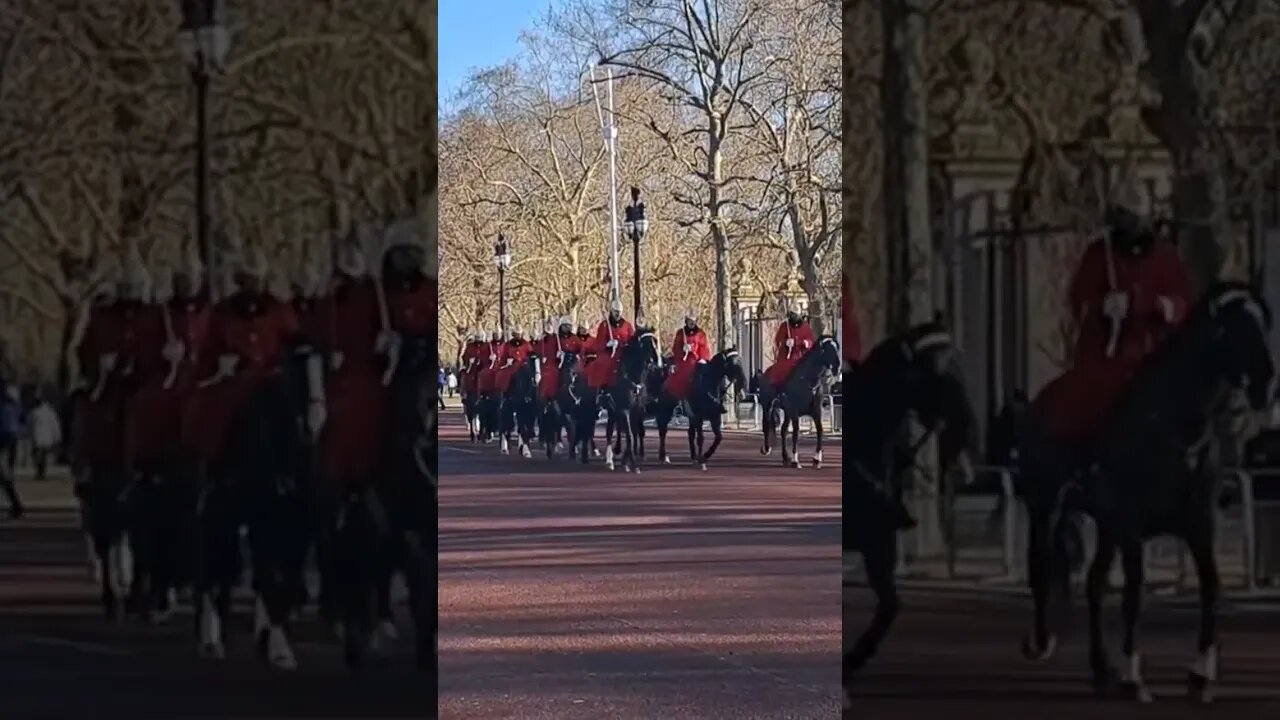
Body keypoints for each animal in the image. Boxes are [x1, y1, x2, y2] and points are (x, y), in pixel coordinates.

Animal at [757, 335, 839, 466]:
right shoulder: (794, 411)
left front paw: (817, 459)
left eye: (837, 347)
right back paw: (767, 448)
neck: (809, 382)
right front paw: (795, 460)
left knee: (783, 430)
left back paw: (785, 457)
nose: (837, 367)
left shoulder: (816, 411)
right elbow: (796, 433)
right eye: (828, 349)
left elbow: (820, 431)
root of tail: (765, 373)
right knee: (766, 424)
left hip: (786, 412)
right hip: (768, 405)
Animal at [839, 317, 977, 696]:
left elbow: (891, 605)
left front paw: (853, 660)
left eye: (961, 359)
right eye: (933, 371)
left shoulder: (877, 541)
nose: (964, 430)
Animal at [1013, 280, 1274, 702]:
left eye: (1265, 323)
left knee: (1094, 583)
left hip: (1104, 525)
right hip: (1046, 504)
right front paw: (1133, 677)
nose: (1266, 386)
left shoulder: (1200, 523)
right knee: (1042, 565)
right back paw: (1042, 642)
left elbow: (1210, 585)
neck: (1174, 428)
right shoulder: (1131, 526)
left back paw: (1100, 668)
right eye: (1235, 329)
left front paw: (1201, 674)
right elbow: (1135, 595)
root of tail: (1037, 404)